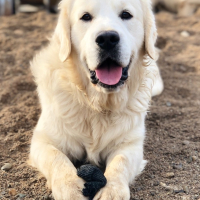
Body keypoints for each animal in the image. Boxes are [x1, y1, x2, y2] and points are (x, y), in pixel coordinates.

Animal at [29, 0, 163, 199]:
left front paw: (112, 191)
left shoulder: (131, 144)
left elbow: (120, 162)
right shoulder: (42, 140)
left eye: (126, 14)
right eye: (85, 17)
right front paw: (71, 188)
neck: (96, 104)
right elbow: (57, 159)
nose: (107, 38)